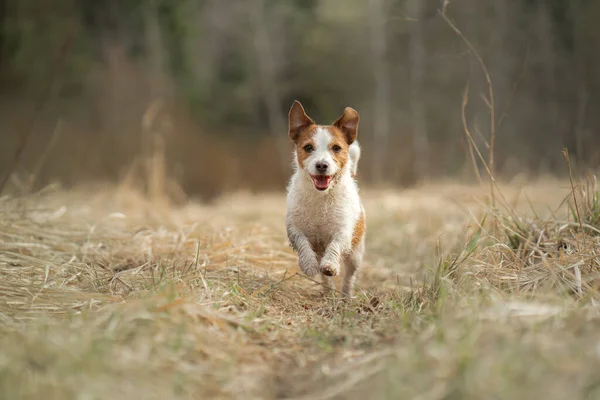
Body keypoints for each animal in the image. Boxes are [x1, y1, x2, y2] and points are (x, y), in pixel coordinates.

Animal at [286, 99, 366, 296]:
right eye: (308, 147)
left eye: (336, 148)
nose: (322, 165)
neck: (321, 196)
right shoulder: (294, 228)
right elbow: (302, 242)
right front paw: (308, 264)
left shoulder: (343, 231)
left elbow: (335, 245)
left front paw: (330, 264)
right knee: (325, 278)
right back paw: (327, 291)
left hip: (356, 254)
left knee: (349, 277)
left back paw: (345, 295)